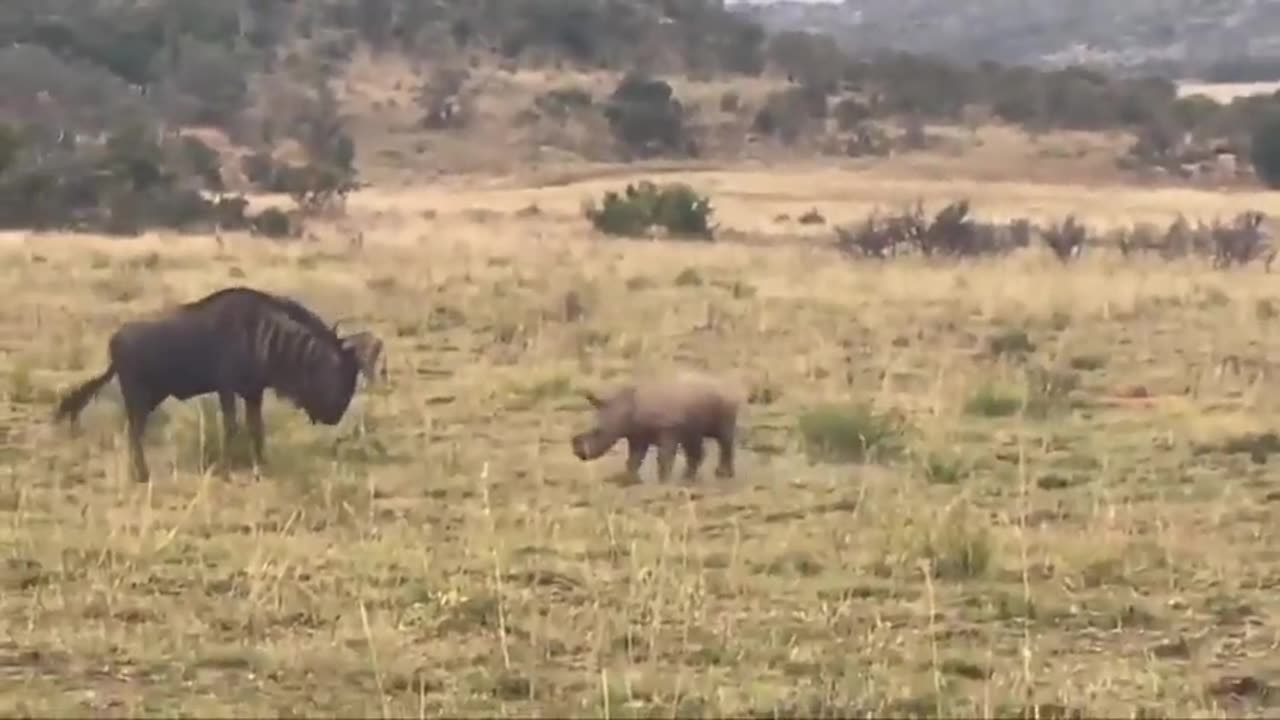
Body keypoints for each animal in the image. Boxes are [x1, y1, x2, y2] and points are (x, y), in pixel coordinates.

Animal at [570, 368, 742, 481]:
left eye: (598, 431)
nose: (579, 454)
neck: (621, 407)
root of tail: (728, 385)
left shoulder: (668, 428)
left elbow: (664, 457)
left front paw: (663, 480)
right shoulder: (637, 434)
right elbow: (634, 458)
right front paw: (628, 479)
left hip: (726, 402)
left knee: (724, 437)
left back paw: (722, 475)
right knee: (694, 439)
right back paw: (688, 478)